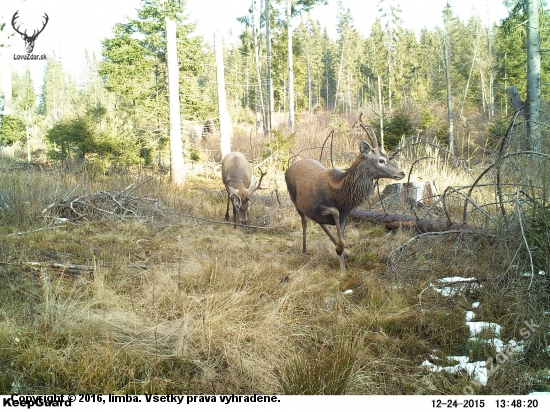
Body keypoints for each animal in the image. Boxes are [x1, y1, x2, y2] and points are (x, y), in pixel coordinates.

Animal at [286, 121, 408, 274]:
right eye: (381, 160)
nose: (402, 173)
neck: (340, 196)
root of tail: (289, 168)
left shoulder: (345, 213)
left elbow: (342, 236)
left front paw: (343, 266)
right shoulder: (318, 206)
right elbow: (335, 214)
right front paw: (339, 253)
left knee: (318, 222)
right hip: (295, 200)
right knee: (305, 221)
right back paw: (304, 250)